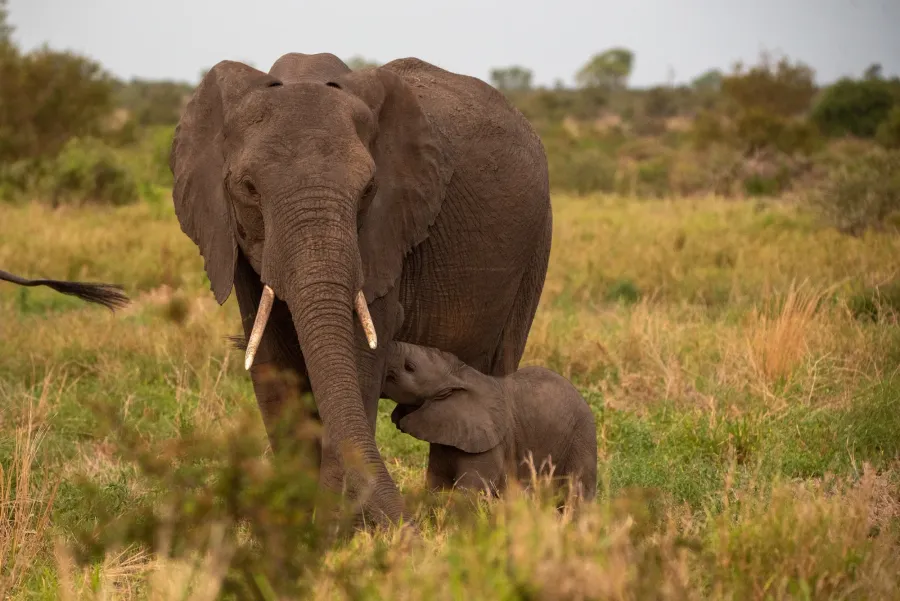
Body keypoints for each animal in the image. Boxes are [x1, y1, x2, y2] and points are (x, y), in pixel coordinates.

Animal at [169, 52, 551, 528]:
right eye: (249, 189)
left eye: (368, 189)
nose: (409, 528)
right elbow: (271, 359)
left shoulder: (388, 232)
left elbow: (362, 352)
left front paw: (337, 529)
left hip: (536, 245)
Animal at [383, 341, 597, 501]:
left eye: (409, 367)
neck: (461, 375)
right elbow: (437, 482)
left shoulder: (492, 443)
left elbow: (471, 487)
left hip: (581, 437)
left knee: (577, 492)